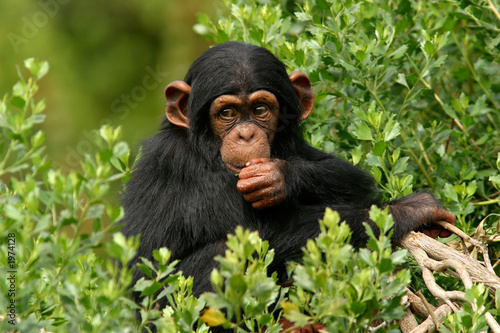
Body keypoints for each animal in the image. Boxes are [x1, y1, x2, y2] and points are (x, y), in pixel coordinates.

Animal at [120, 40, 454, 330]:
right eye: (227, 113)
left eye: (259, 110)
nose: (245, 134)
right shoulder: (183, 165)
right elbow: (254, 232)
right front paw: (410, 210)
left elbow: (349, 176)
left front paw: (278, 176)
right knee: (226, 252)